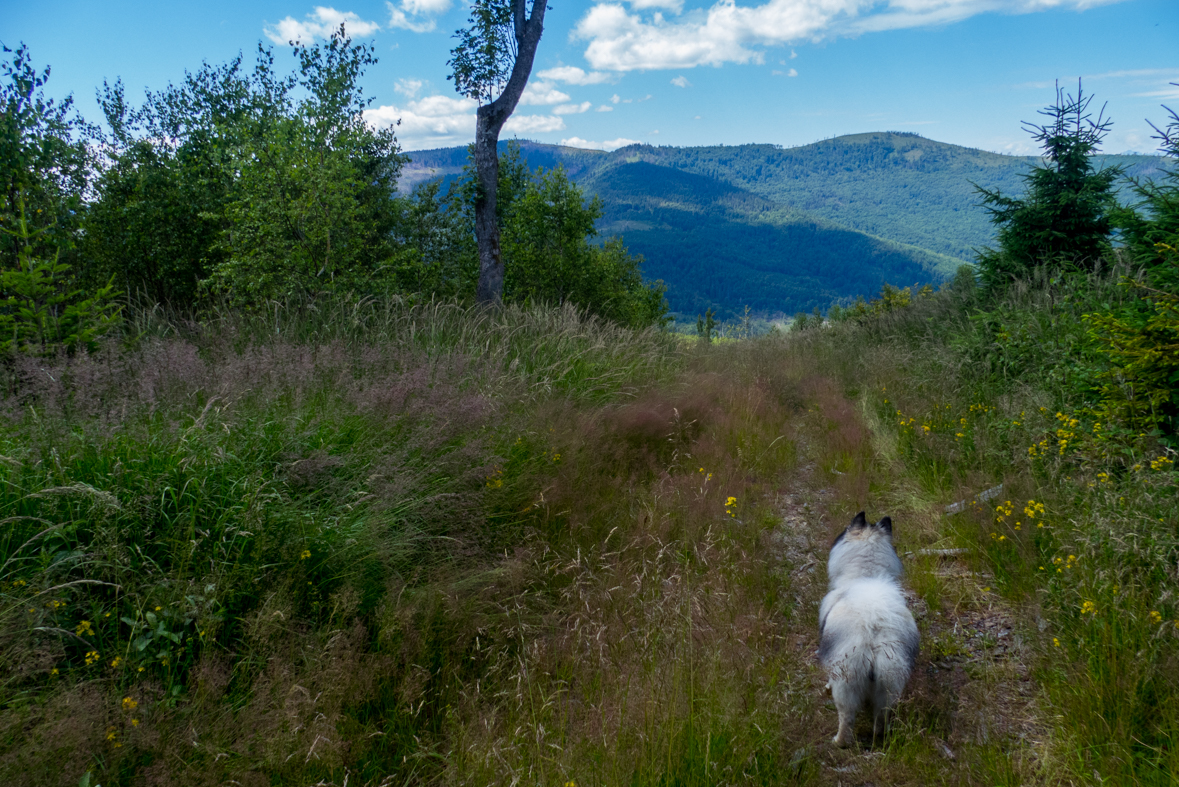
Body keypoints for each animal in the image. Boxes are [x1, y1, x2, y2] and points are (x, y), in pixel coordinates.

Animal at [820, 513, 919, 749]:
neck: (866, 574)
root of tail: (875, 640)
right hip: (888, 687)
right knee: (881, 721)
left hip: (846, 684)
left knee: (846, 720)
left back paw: (838, 742)